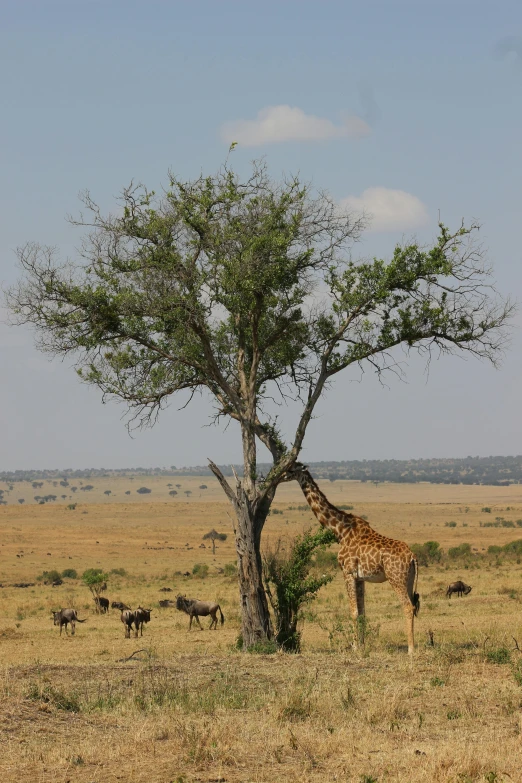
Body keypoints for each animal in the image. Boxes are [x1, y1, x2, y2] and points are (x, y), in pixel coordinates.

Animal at [284, 466, 418, 656]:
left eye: (292, 469)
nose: (281, 475)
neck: (340, 531)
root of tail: (412, 557)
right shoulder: (360, 577)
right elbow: (362, 612)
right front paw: (362, 645)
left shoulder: (347, 572)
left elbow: (353, 611)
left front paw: (354, 647)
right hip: (409, 579)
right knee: (413, 605)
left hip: (396, 578)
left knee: (407, 606)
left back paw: (411, 649)